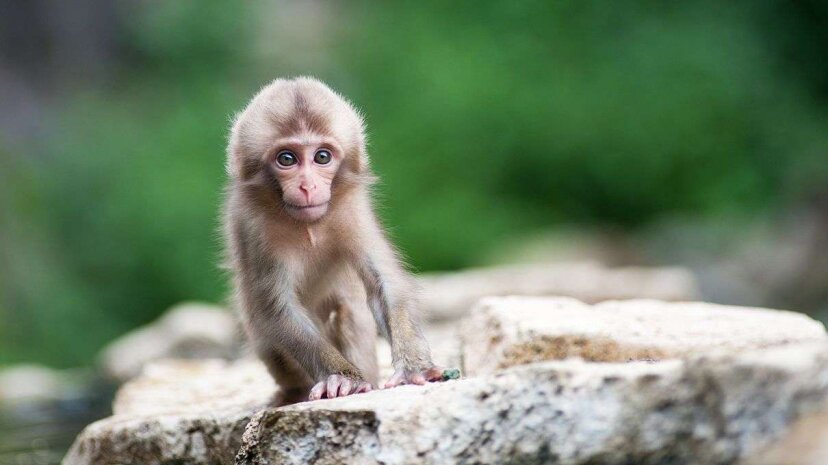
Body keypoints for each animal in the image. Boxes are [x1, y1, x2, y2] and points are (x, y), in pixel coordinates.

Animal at [223, 77, 444, 402]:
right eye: (287, 159)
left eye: (322, 157)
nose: (307, 186)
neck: (306, 225)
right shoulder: (250, 227)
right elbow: (277, 310)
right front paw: (342, 378)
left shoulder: (354, 211)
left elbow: (386, 284)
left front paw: (414, 366)